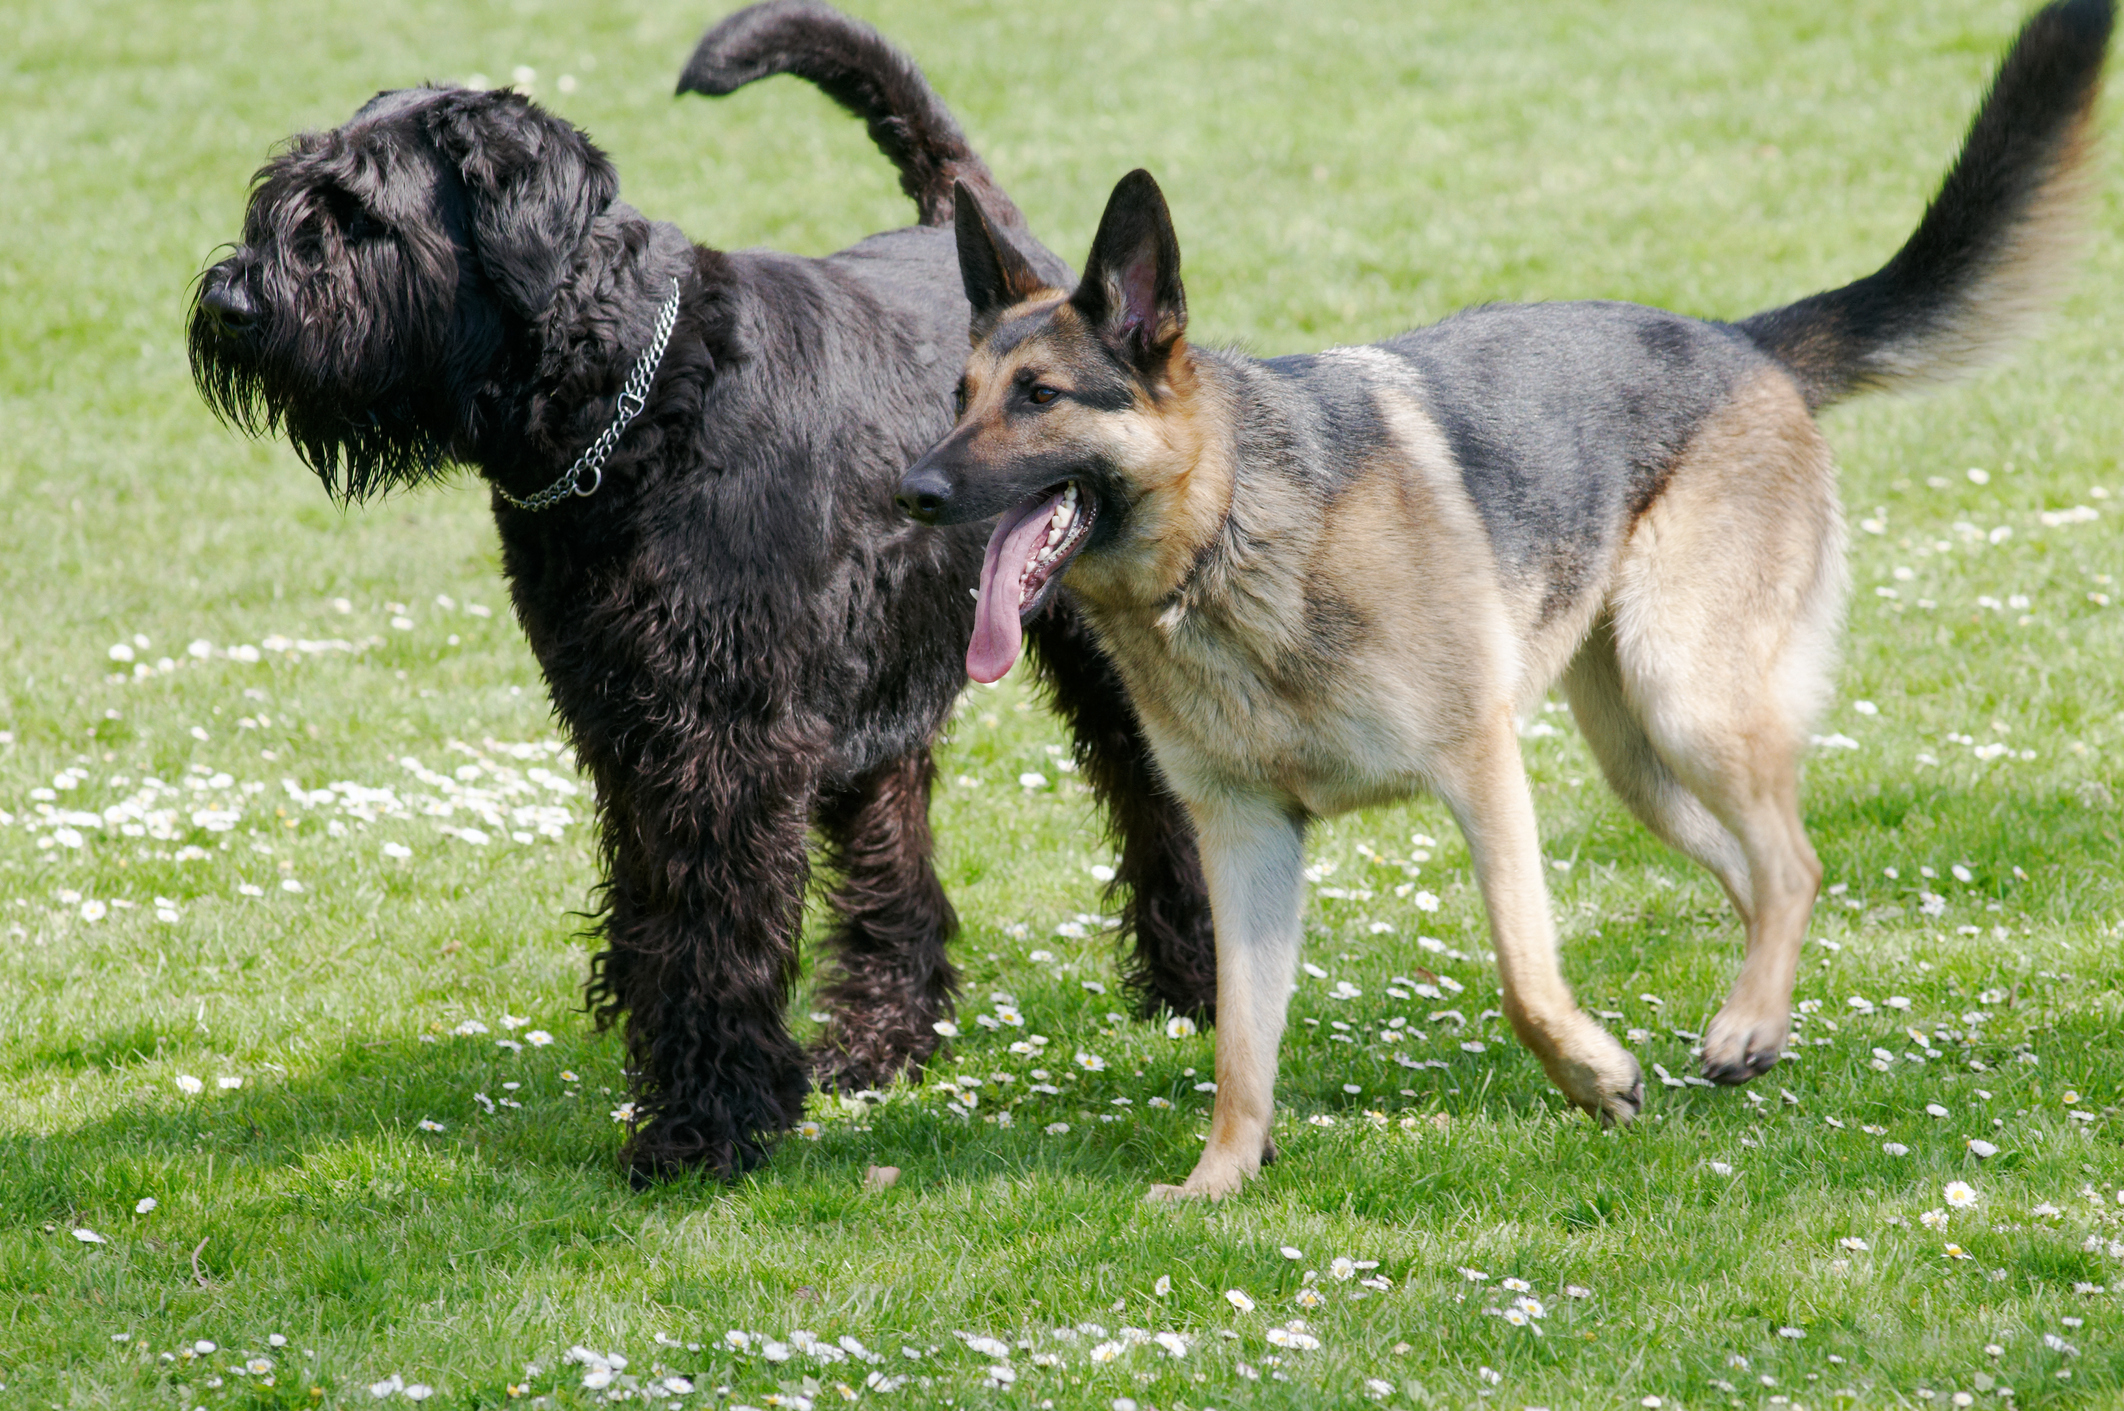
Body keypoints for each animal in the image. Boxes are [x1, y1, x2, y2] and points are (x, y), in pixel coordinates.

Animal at [191, 0, 1223, 1181]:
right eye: (285, 191)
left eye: (357, 213)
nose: (230, 301)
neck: (635, 404)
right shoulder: (627, 721)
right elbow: (657, 915)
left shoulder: (723, 737)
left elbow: (712, 924)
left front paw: (703, 1125)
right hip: (875, 701)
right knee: (894, 857)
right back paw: (884, 1040)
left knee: (1164, 802)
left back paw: (1201, 987)